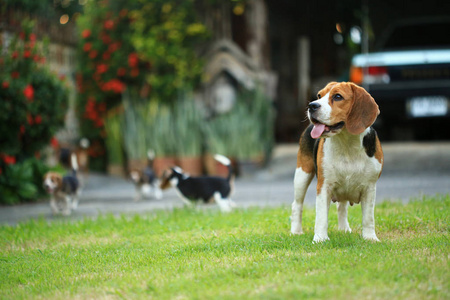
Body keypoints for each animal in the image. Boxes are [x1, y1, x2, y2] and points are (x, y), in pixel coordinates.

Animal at [292, 82, 384, 244]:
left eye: (337, 97)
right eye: (319, 95)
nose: (311, 105)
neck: (347, 144)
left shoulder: (370, 188)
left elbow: (368, 218)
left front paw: (370, 238)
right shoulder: (324, 186)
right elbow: (321, 217)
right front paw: (320, 239)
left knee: (342, 207)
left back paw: (344, 229)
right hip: (302, 175)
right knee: (297, 205)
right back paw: (296, 231)